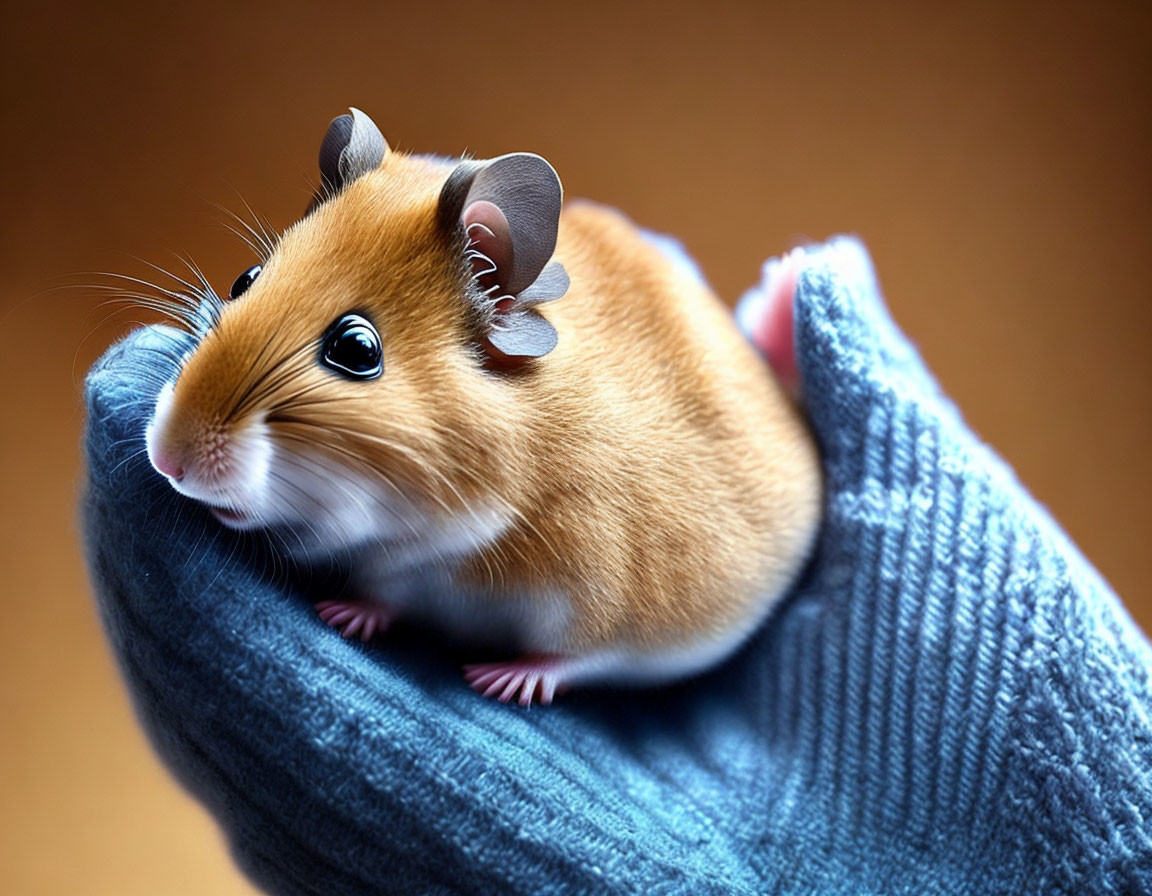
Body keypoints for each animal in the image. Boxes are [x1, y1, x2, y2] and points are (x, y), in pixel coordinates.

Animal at [144, 106, 824, 704]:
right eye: (244, 280)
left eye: (356, 349)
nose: (168, 461)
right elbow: (388, 595)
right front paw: (350, 612)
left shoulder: (607, 596)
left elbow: (577, 657)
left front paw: (504, 680)